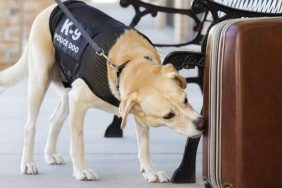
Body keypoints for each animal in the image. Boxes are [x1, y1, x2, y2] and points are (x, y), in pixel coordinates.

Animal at [0, 0, 203, 182]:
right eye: (168, 115)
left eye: (185, 100)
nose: (202, 124)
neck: (128, 65)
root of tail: (49, 9)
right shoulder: (78, 102)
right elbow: (78, 141)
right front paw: (81, 171)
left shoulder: (138, 115)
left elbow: (144, 146)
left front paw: (150, 171)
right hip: (40, 79)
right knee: (30, 126)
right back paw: (28, 163)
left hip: (67, 94)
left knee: (54, 119)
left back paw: (50, 155)